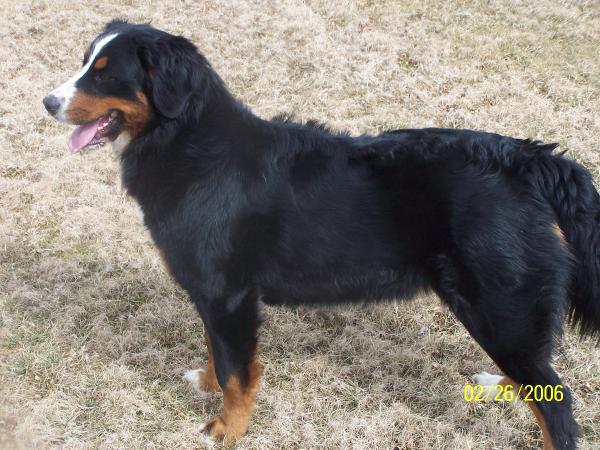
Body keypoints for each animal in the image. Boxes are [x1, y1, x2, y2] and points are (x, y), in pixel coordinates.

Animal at [43, 19, 600, 448]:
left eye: (106, 74)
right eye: (85, 63)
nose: (47, 102)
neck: (187, 142)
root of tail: (529, 159)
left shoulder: (227, 294)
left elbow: (237, 372)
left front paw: (227, 428)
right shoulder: (212, 294)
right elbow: (217, 354)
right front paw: (206, 382)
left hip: (499, 303)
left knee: (556, 401)